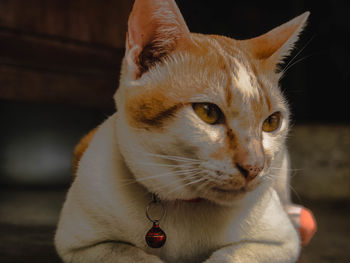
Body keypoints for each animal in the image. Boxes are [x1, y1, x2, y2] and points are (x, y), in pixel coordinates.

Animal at [54, 0, 312, 263]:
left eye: (272, 122)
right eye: (208, 112)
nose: (254, 167)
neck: (184, 206)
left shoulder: (281, 242)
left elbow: (230, 255)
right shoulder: (80, 244)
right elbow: (130, 253)